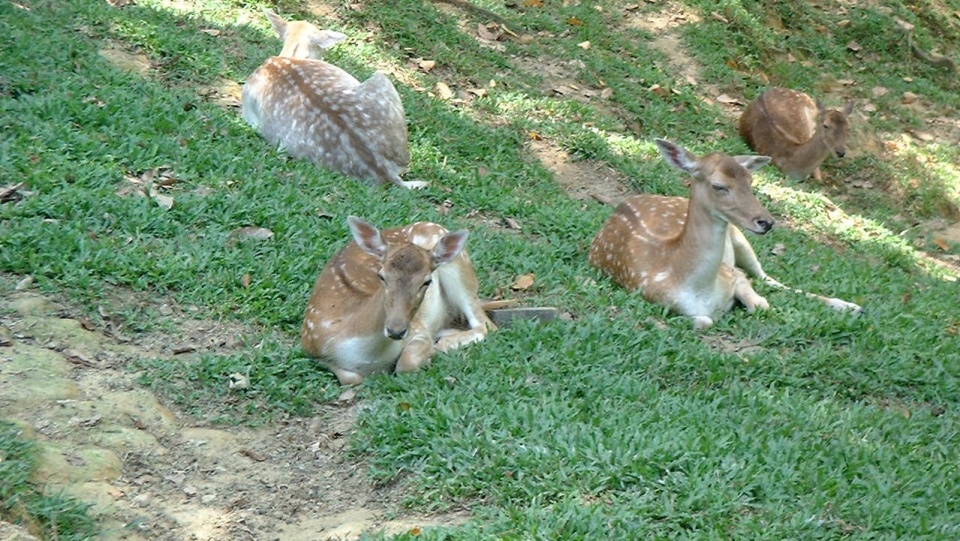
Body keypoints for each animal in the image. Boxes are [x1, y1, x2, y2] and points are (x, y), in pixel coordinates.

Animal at [300, 215, 496, 384]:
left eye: (427, 281)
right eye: (381, 276)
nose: (396, 330)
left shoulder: (418, 330)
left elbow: (406, 364)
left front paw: (430, 354)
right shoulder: (311, 345)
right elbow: (351, 378)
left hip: (459, 267)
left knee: (486, 325)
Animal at [584, 138, 864, 330]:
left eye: (750, 181)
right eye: (719, 186)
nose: (766, 222)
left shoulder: (732, 274)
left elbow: (760, 302)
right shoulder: (656, 297)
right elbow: (706, 321)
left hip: (740, 236)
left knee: (767, 278)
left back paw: (851, 306)